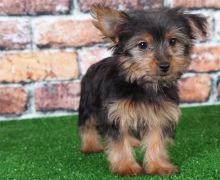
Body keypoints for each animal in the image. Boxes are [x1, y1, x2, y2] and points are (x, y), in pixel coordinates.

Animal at [77, 5, 206, 176]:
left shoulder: (161, 115)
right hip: (87, 101)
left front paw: (158, 165)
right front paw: (126, 166)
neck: (145, 84)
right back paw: (90, 145)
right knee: (87, 123)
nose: (165, 65)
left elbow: (156, 140)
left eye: (173, 41)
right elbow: (119, 142)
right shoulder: (114, 112)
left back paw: (132, 141)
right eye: (142, 45)